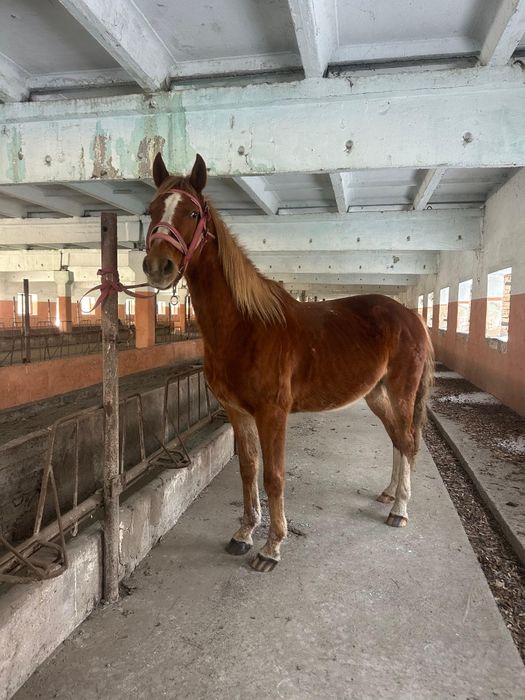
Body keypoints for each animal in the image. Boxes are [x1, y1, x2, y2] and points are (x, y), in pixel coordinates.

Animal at [142, 153, 434, 573]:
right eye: (151, 210)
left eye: (194, 213)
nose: (158, 266)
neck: (245, 326)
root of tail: (412, 317)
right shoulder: (237, 412)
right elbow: (248, 470)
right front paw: (243, 534)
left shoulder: (272, 413)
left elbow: (274, 476)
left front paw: (271, 548)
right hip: (377, 394)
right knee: (397, 439)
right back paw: (389, 494)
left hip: (401, 392)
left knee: (408, 441)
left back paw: (400, 509)